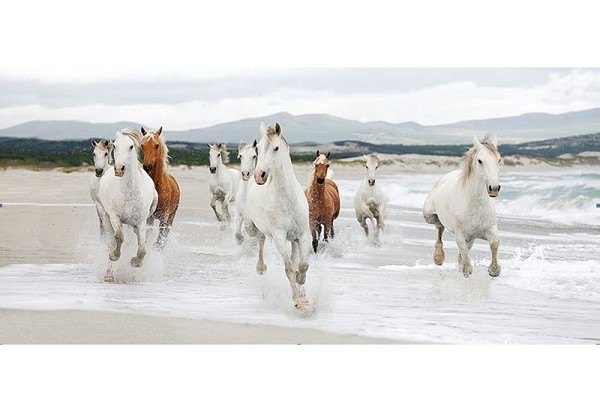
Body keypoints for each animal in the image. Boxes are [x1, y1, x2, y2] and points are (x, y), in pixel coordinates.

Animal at [96, 128, 157, 276]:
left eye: (131, 146)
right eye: (115, 146)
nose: (119, 169)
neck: (129, 191)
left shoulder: (141, 221)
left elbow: (142, 248)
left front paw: (136, 262)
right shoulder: (115, 217)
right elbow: (119, 237)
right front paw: (114, 255)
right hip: (104, 215)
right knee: (110, 237)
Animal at [243, 120, 310, 308]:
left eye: (276, 148)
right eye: (257, 149)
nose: (259, 175)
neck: (288, 200)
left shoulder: (303, 234)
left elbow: (302, 264)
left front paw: (301, 285)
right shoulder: (279, 236)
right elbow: (289, 269)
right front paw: (298, 301)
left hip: (294, 239)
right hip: (252, 227)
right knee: (260, 238)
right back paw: (261, 268)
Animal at [422, 134, 502, 278]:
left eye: (498, 160)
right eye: (480, 161)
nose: (494, 188)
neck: (475, 205)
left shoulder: (490, 228)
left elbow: (494, 243)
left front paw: (494, 270)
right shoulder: (460, 234)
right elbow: (463, 248)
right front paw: (466, 269)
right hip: (429, 215)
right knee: (439, 227)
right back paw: (438, 257)